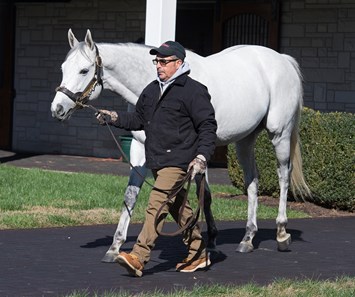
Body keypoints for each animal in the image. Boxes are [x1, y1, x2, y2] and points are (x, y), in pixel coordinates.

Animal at [50, 29, 312, 262]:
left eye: (84, 70)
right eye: (63, 68)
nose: (57, 109)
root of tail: (282, 59)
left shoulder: (196, 153)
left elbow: (201, 195)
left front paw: (208, 242)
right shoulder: (140, 149)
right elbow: (132, 194)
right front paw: (115, 247)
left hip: (279, 134)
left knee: (283, 176)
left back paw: (281, 233)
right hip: (244, 140)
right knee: (252, 181)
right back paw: (247, 238)